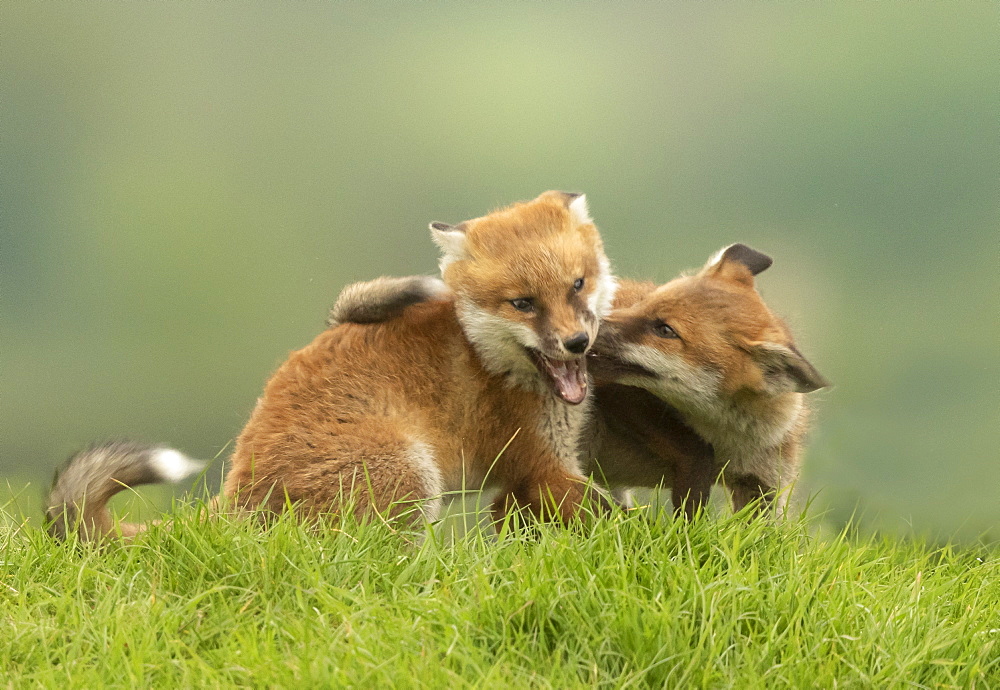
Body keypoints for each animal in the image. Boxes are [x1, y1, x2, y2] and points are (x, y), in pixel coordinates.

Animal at [52, 191, 624, 540]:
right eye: (522, 303)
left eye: (577, 285)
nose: (576, 343)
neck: (488, 359)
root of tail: (238, 489)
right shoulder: (540, 464)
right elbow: (615, 521)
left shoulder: (535, 476)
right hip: (410, 479)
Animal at [328, 242, 828, 516]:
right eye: (647, 308)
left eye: (666, 330)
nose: (584, 336)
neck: (732, 438)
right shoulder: (618, 398)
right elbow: (693, 457)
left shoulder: (765, 489)